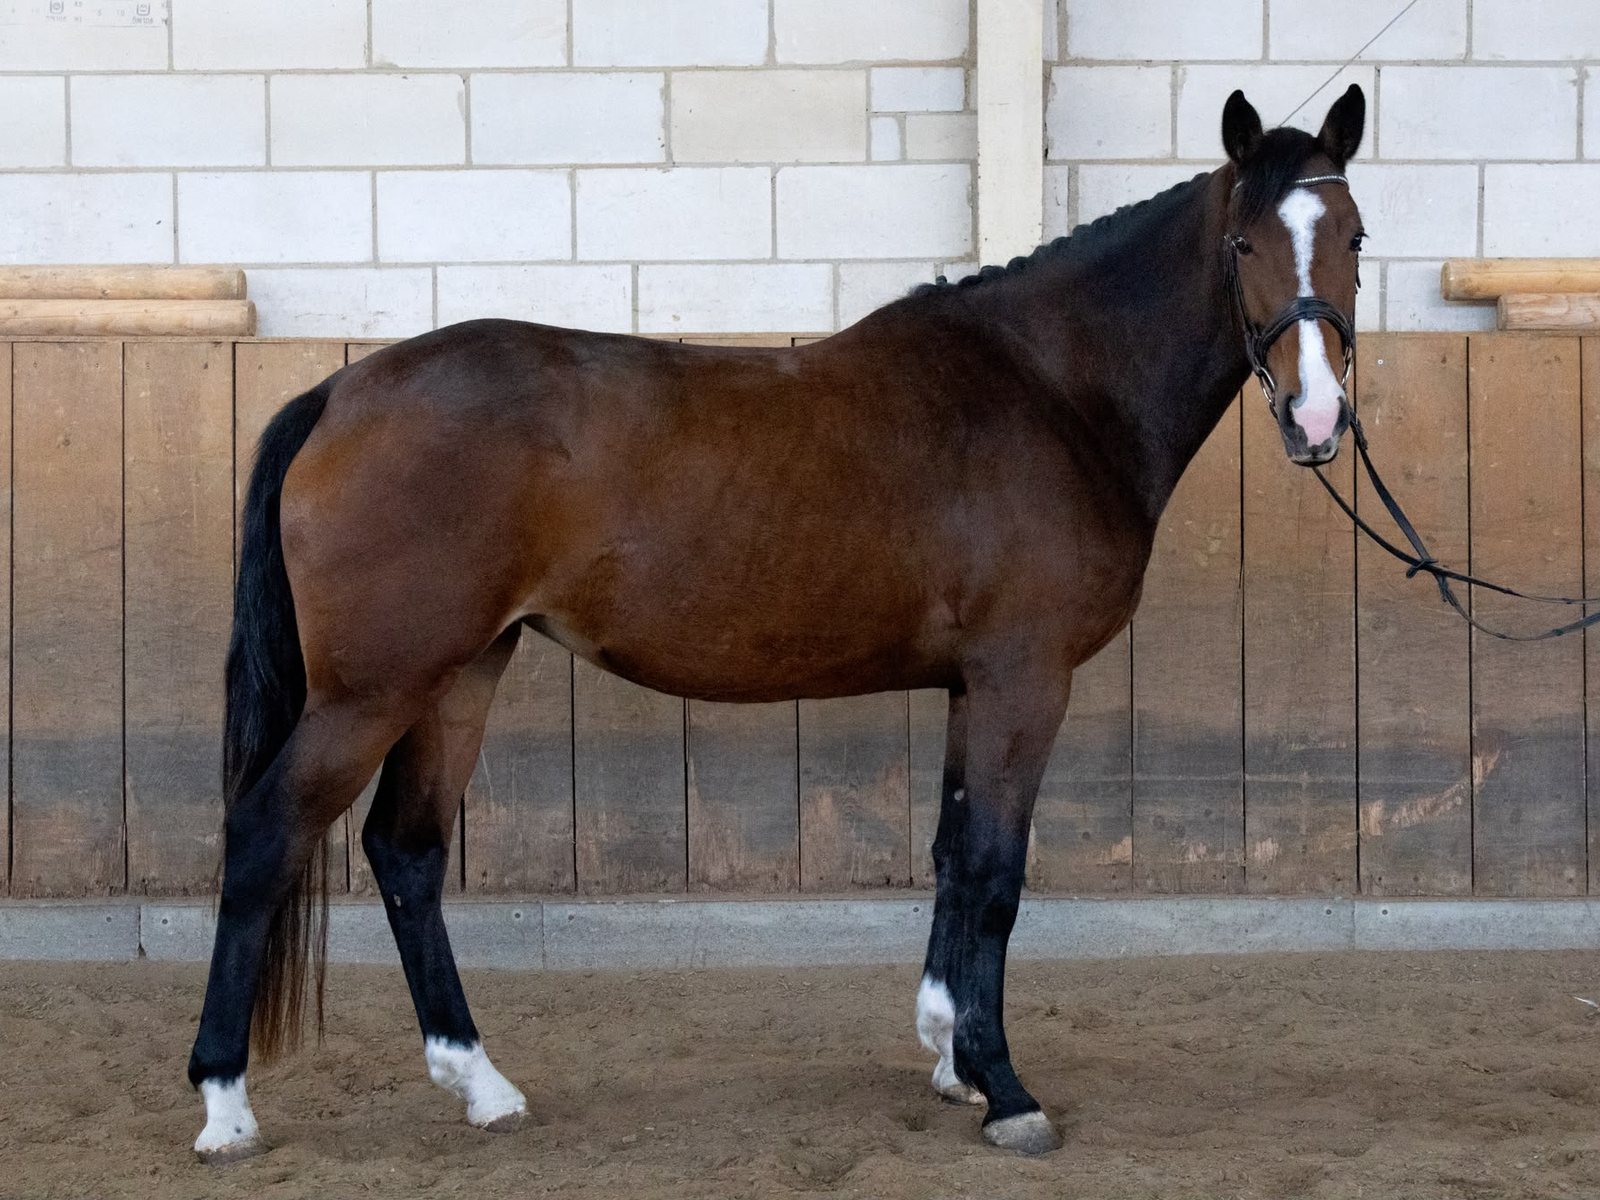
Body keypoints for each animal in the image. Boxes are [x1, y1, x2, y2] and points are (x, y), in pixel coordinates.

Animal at [187, 84, 1367, 1161]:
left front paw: (949, 1054)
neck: (1051, 390)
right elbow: (993, 875)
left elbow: (951, 857)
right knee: (267, 834)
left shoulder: (970, 688)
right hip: (373, 690)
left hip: (462, 673)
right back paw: (225, 1105)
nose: (1318, 418)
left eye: (1354, 235)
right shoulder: (1023, 680)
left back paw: (481, 1084)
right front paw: (1005, 1089)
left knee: (407, 850)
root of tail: (340, 395)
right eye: (1243, 242)